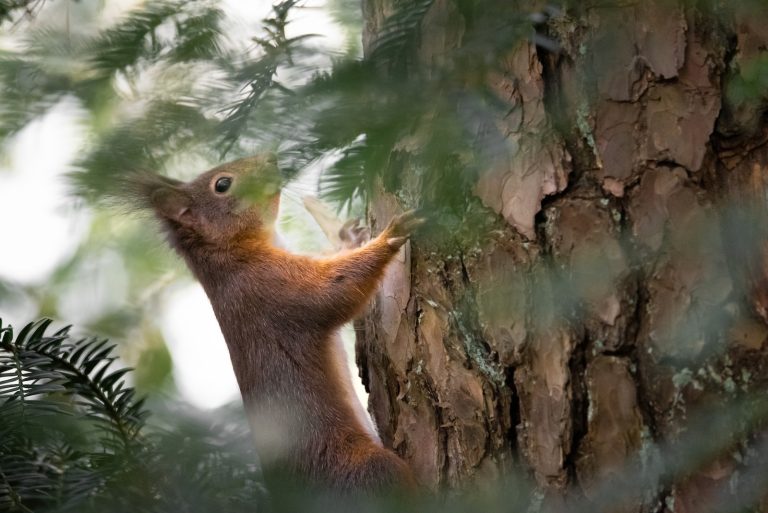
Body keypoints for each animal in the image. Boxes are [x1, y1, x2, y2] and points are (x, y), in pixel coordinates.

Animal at [130, 155, 424, 492]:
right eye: (222, 184)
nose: (271, 158)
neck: (231, 253)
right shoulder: (269, 288)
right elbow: (336, 290)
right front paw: (390, 236)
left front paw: (350, 238)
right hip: (366, 470)